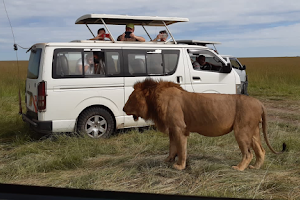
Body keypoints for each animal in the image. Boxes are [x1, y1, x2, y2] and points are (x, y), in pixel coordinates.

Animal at [122, 79, 286, 171]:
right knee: (261, 151)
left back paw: (239, 168)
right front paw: (168, 160)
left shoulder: (180, 129)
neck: (155, 100)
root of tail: (260, 103)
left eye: (131, 97)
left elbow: (181, 149)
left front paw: (179, 166)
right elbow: (172, 148)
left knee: (248, 153)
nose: (123, 109)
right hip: (253, 131)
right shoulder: (172, 130)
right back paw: (256, 167)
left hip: (241, 131)